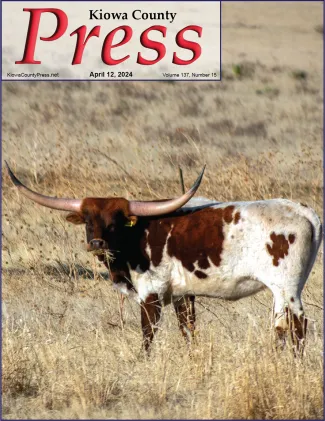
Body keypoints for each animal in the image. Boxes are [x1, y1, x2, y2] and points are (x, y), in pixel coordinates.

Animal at [5, 162, 322, 352]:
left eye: (115, 222)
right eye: (88, 220)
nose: (96, 242)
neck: (137, 234)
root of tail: (303, 210)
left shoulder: (151, 291)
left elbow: (148, 333)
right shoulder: (183, 293)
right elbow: (187, 329)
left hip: (288, 287)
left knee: (298, 325)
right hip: (280, 291)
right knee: (280, 326)